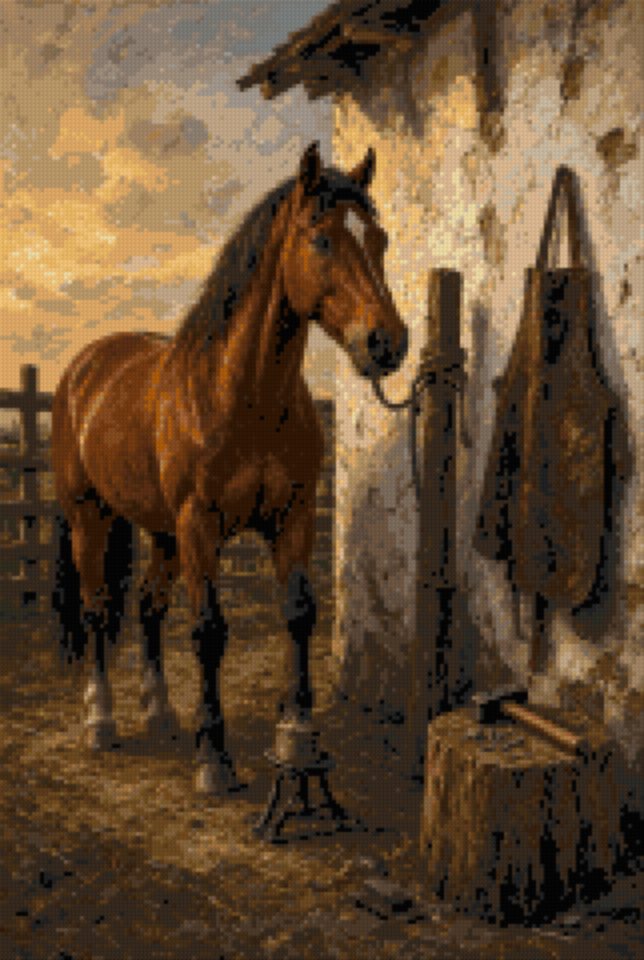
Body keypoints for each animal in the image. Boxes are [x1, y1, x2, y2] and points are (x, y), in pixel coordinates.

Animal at [50, 141, 409, 794]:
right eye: (320, 238)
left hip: (161, 533)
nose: (387, 344)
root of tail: (84, 368)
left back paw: (161, 713)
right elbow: (209, 631)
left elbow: (299, 614)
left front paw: (296, 739)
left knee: (147, 607)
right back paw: (100, 721)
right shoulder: (199, 525)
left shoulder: (294, 517)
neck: (242, 395)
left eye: (380, 240)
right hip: (92, 518)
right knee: (96, 610)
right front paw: (213, 760)